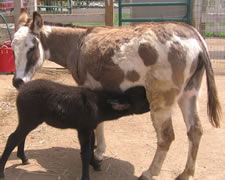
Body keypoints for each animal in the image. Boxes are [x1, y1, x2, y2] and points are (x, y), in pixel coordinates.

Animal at [0, 80, 149, 180]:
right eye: (144, 99)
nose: (152, 105)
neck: (99, 104)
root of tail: (22, 88)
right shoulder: (84, 129)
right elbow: (86, 152)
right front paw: (86, 175)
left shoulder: (89, 127)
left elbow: (90, 147)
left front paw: (95, 164)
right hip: (29, 118)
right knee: (13, 138)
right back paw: (2, 171)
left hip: (29, 119)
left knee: (21, 136)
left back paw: (23, 158)